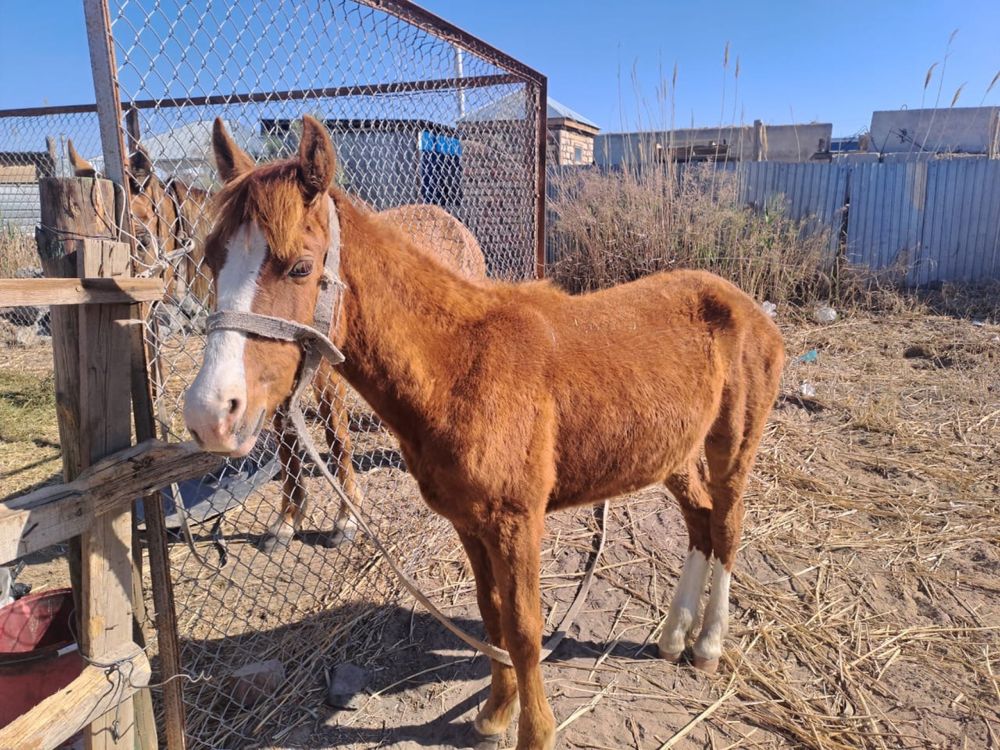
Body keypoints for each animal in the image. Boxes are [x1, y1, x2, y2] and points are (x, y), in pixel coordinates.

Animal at [184, 117, 784, 750]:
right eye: (211, 260)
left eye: (300, 266)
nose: (210, 413)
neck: (460, 367)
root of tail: (746, 304)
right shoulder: (470, 523)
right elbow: (492, 615)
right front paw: (495, 713)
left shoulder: (516, 522)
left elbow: (523, 628)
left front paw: (535, 731)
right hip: (673, 453)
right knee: (700, 522)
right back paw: (673, 637)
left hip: (732, 448)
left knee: (727, 524)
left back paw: (708, 645)